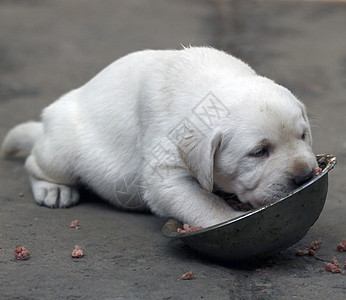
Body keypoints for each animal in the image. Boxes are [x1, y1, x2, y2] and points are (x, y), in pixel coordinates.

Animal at [1, 47, 318, 226]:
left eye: (303, 136)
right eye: (259, 151)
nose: (304, 177)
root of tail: (46, 121)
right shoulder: (165, 170)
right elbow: (205, 204)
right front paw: (230, 219)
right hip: (63, 149)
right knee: (35, 163)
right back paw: (53, 190)